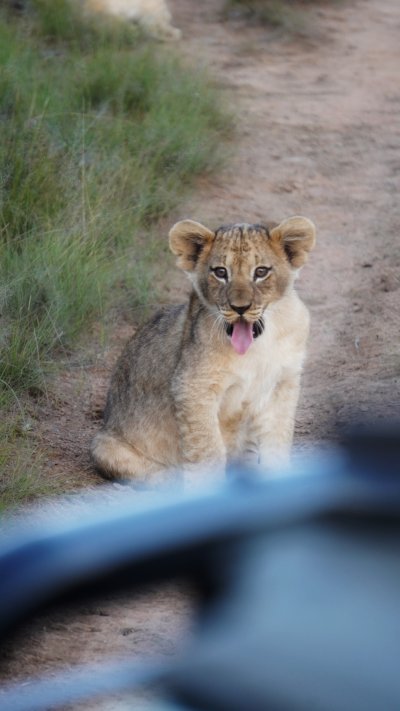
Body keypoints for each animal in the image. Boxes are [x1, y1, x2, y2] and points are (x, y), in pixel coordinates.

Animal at [91, 216, 316, 487]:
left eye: (261, 272)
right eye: (220, 272)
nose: (240, 308)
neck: (259, 344)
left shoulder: (283, 383)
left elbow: (277, 442)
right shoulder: (192, 386)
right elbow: (208, 450)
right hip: (104, 446)